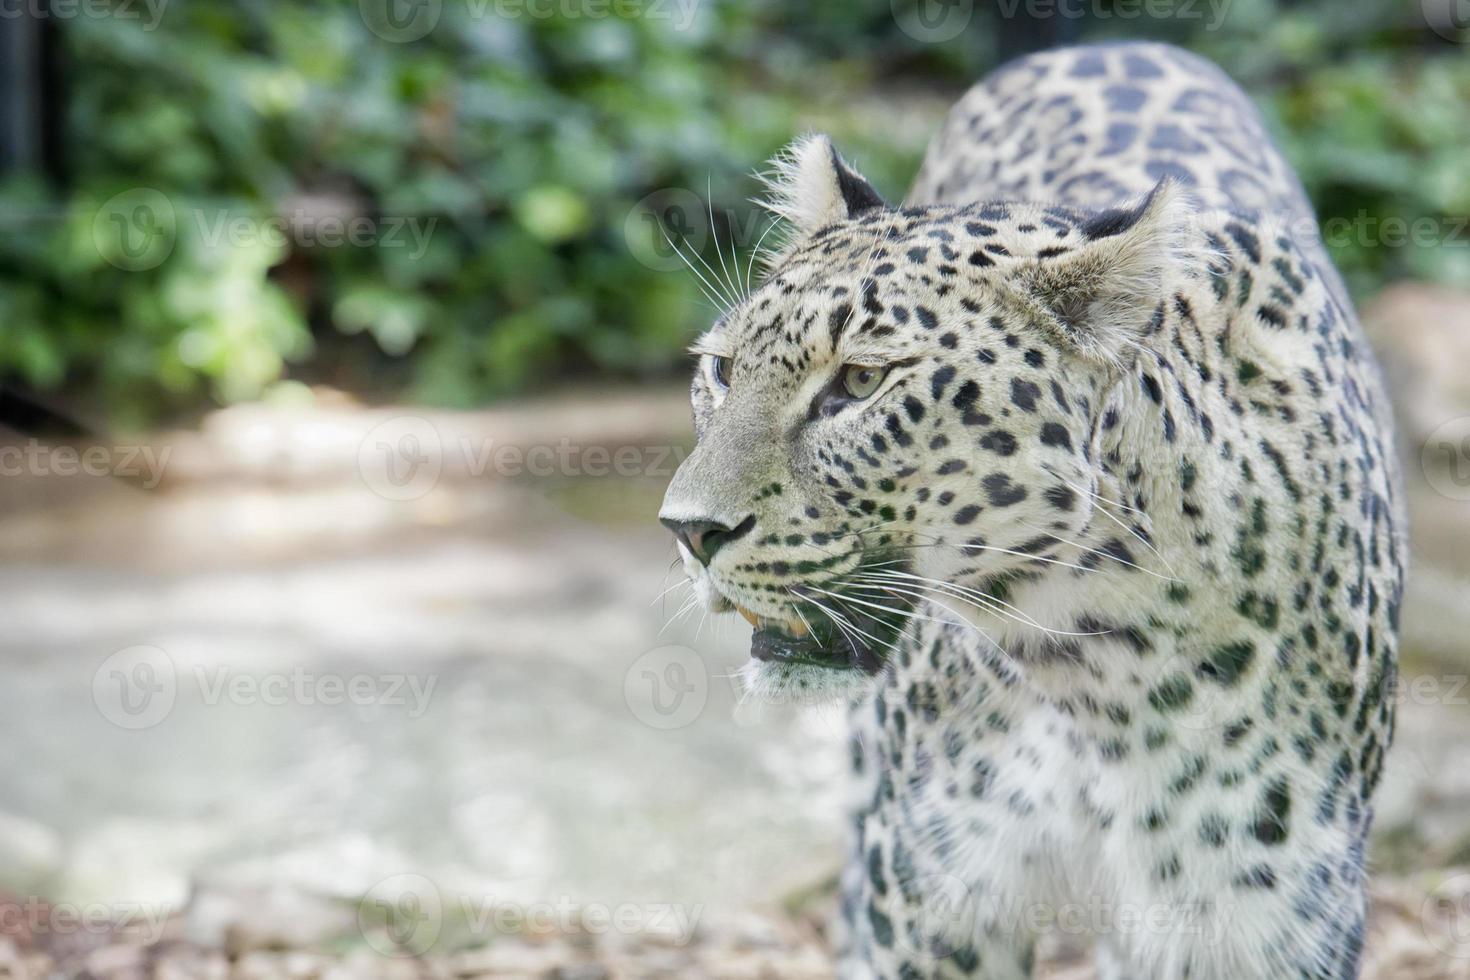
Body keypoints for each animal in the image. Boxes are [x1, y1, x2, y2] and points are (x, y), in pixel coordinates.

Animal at [661, 40, 1405, 980]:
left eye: (860, 382)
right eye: (722, 370)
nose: (688, 531)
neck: (1097, 670)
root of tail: (1104, 42)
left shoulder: (1261, 918)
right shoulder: (928, 895)